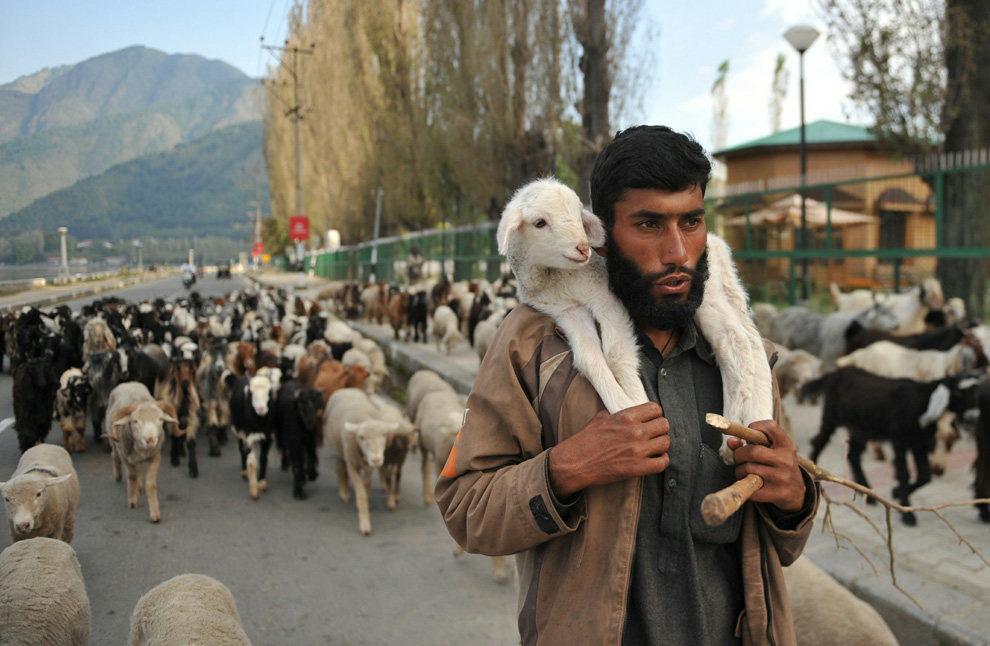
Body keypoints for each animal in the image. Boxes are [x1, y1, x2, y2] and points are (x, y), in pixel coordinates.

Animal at [103, 382, 177, 524]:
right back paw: (119, 476)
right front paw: (132, 502)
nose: (150, 440)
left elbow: (151, 484)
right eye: (135, 421)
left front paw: (154, 513)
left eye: (160, 419)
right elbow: (131, 476)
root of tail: (129, 382)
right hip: (114, 442)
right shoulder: (125, 455)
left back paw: (139, 486)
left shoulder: (155, 457)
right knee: (114, 455)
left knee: (139, 466)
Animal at [326, 390, 404, 536]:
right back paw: (344, 492)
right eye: (361, 437)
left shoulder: (369, 467)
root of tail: (348, 389)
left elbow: (366, 486)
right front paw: (365, 524)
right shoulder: (352, 464)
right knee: (340, 468)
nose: (376, 459)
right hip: (339, 450)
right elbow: (361, 493)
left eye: (384, 435)